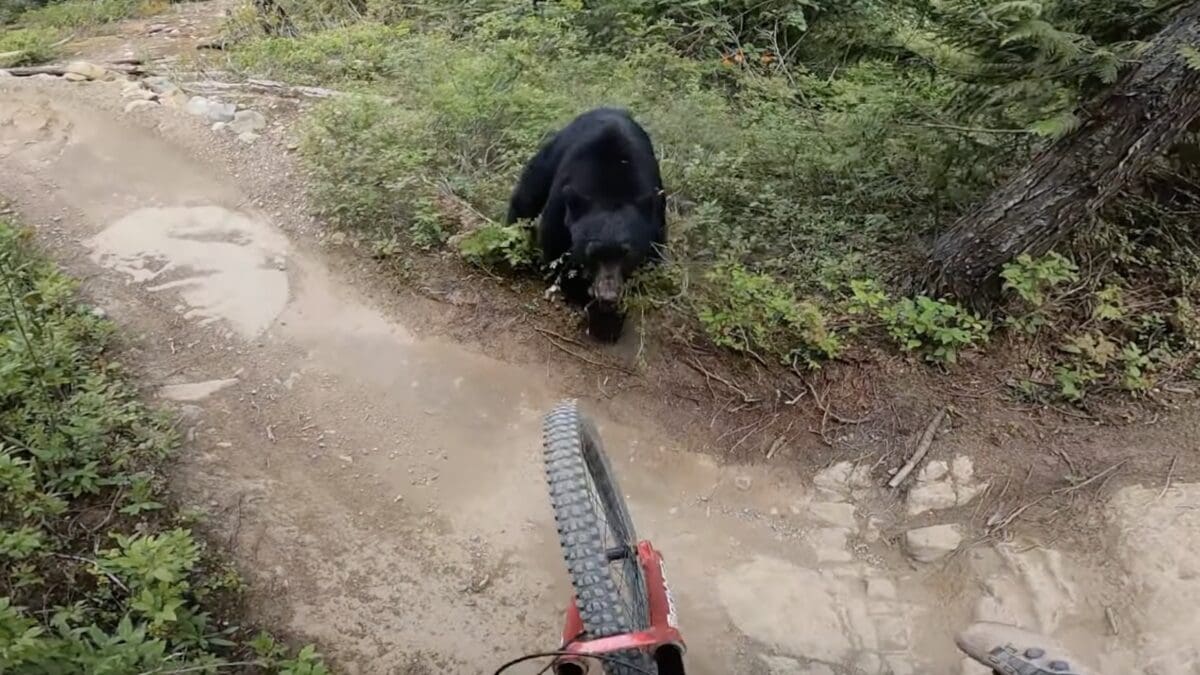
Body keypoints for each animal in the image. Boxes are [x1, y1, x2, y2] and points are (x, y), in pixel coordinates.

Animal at [505, 107, 666, 342]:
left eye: (627, 253)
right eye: (593, 252)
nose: (608, 295)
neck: (613, 189)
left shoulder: (655, 216)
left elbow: (651, 262)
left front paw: (611, 319)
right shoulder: (564, 199)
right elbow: (556, 250)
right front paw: (594, 309)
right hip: (554, 151)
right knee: (527, 195)